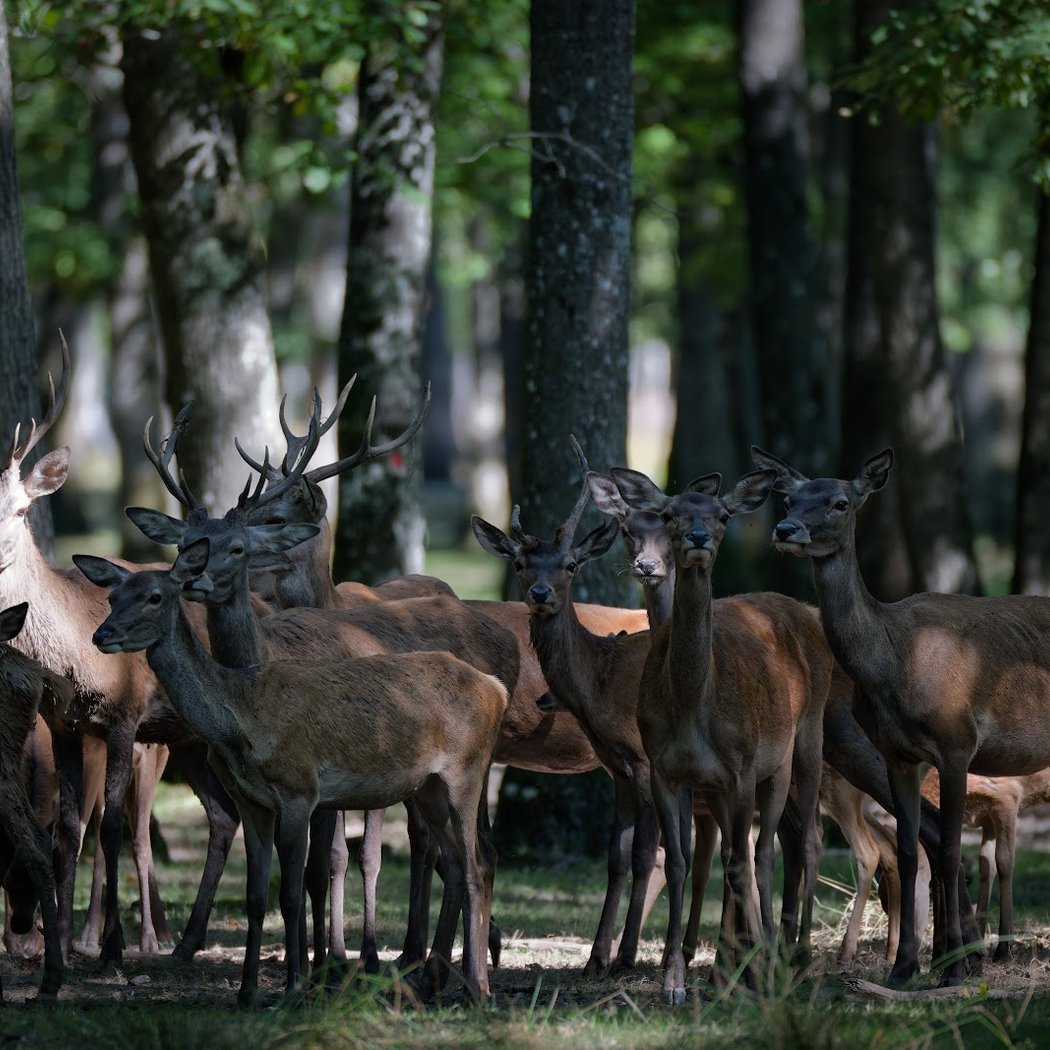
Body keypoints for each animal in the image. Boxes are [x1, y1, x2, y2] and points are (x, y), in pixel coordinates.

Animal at [76, 540, 508, 1004]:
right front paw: (247, 991)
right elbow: (255, 896)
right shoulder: (252, 802)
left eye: (155, 596)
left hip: (466, 771)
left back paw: (478, 990)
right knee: (457, 860)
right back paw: (438, 983)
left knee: (478, 863)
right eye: (112, 597)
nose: (102, 635)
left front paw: (296, 987)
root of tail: (496, 689)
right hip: (427, 787)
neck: (241, 721)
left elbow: (290, 893)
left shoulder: (298, 789)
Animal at [608, 463, 832, 1005]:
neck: (693, 708)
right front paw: (674, 982)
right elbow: (679, 862)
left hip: (801, 742)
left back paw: (793, 960)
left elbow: (738, 863)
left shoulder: (740, 768)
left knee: (790, 844)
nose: (698, 537)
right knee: (770, 846)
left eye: (723, 514)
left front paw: (750, 971)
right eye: (670, 513)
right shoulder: (667, 771)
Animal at [751, 444, 1050, 986]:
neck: (895, 663)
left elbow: (949, 849)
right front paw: (905, 967)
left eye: (840, 502)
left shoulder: (957, 742)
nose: (786, 529)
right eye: (788, 498)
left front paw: (953, 969)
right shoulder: (897, 754)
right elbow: (912, 851)